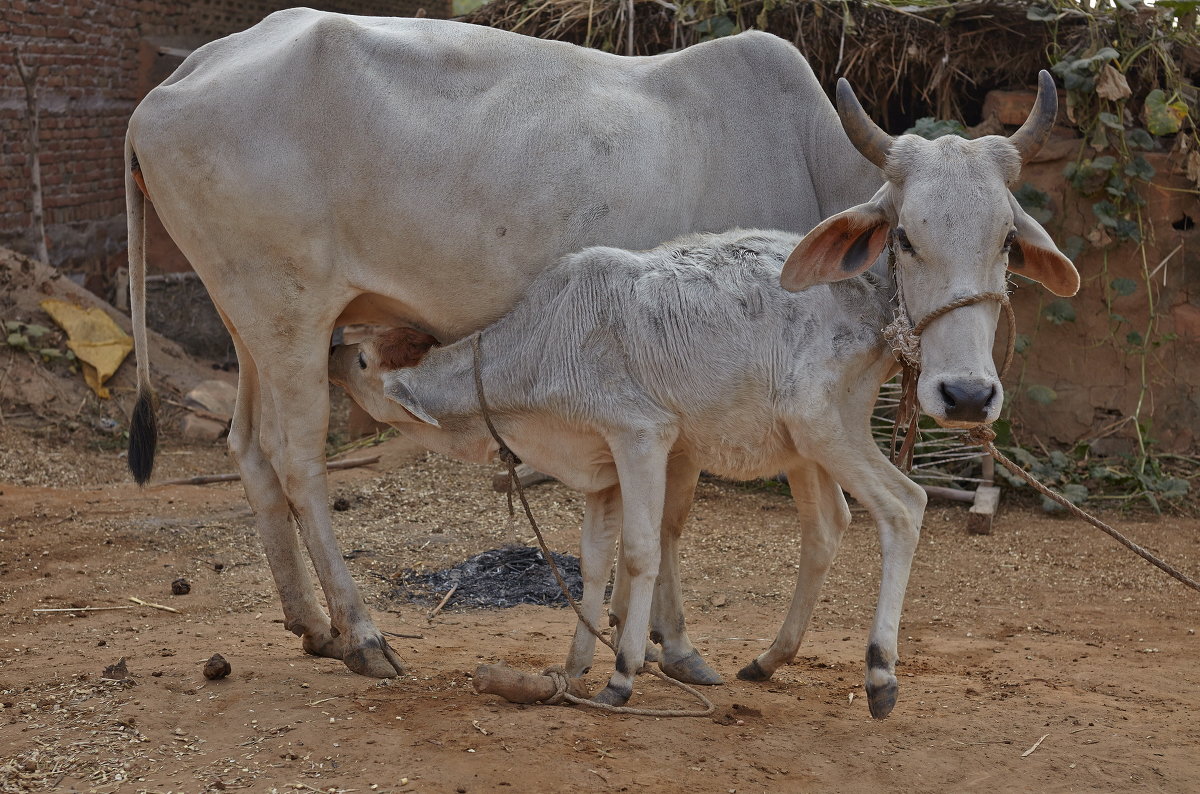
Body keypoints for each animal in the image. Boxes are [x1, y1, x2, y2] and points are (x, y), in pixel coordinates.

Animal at [126, 9, 888, 681]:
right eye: (906, 232)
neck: (812, 159)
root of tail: (180, 78)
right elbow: (674, 517)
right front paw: (671, 645)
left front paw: (628, 628)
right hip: (293, 316)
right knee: (299, 461)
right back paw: (363, 636)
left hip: (249, 320)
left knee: (250, 449)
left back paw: (314, 626)